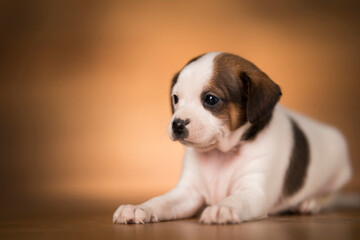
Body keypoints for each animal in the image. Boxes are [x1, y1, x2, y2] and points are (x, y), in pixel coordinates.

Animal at [113, 51, 352, 224]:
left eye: (210, 99)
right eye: (176, 99)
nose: (177, 124)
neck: (221, 153)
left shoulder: (254, 192)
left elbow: (237, 199)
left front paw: (222, 207)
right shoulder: (188, 193)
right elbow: (160, 202)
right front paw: (139, 208)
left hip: (338, 173)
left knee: (330, 196)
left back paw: (311, 202)